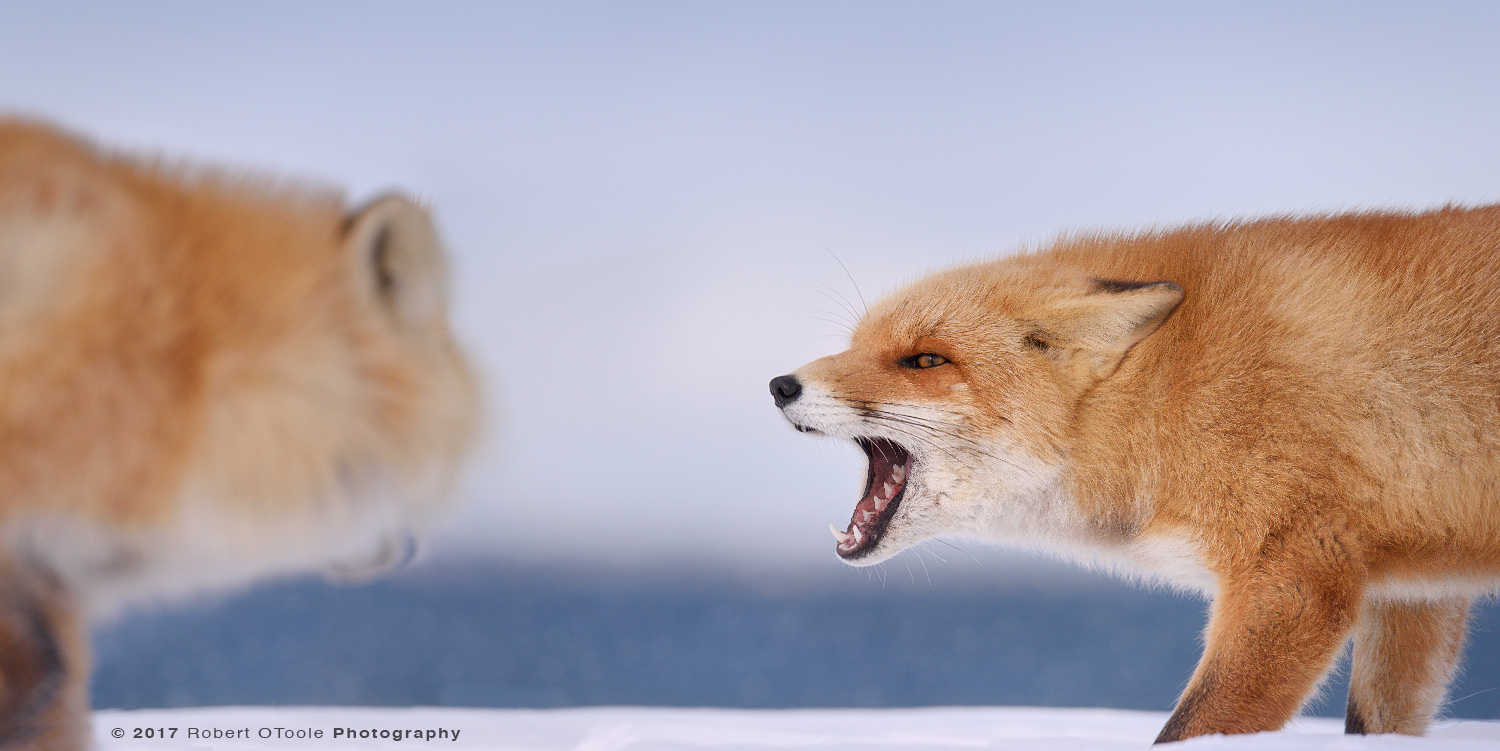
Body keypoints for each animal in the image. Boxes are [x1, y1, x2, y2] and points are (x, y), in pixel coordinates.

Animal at [774, 206, 1500, 743]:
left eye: (925, 359)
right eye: (857, 345)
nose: (781, 384)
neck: (1173, 394)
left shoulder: (1294, 575)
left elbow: (1189, 730)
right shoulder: (1413, 592)